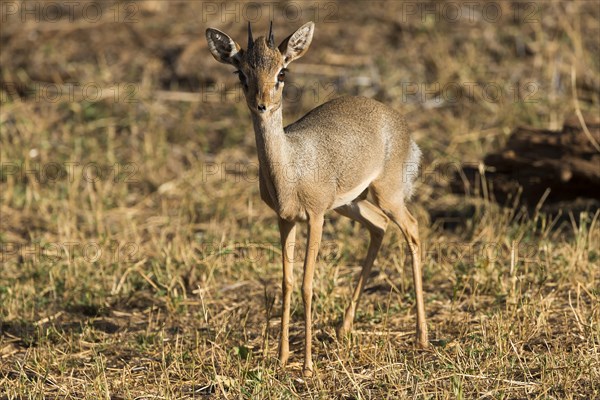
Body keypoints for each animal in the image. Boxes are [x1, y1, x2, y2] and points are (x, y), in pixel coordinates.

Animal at [206, 21, 426, 378]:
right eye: (241, 73)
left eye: (282, 71)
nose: (262, 104)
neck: (290, 168)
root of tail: (398, 121)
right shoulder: (285, 220)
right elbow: (286, 282)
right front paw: (282, 357)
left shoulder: (316, 217)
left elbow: (308, 284)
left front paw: (307, 365)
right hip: (352, 203)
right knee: (379, 227)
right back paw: (344, 327)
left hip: (387, 195)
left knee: (413, 230)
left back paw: (422, 337)